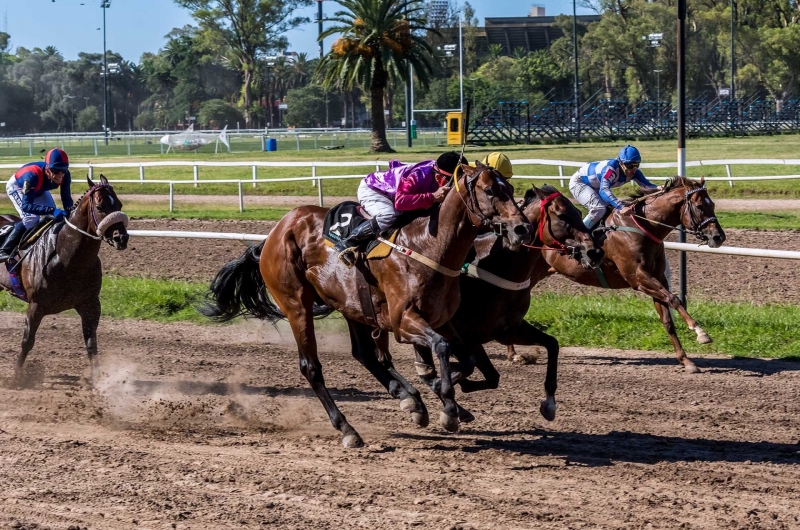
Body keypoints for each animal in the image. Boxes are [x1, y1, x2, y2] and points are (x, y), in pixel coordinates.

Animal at [0, 175, 128, 382]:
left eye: (119, 204)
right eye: (100, 206)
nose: (121, 238)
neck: (67, 256)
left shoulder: (90, 304)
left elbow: (91, 343)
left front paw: (97, 380)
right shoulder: (36, 305)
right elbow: (27, 341)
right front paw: (17, 378)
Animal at [200, 162, 532, 446]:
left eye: (510, 188)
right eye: (489, 190)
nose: (522, 228)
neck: (428, 246)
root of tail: (274, 232)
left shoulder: (441, 319)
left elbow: (466, 359)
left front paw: (439, 396)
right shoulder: (403, 321)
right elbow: (440, 347)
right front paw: (448, 411)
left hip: (352, 305)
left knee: (364, 353)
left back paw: (409, 399)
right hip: (296, 305)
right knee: (311, 367)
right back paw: (348, 429)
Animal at [532, 176, 724, 372]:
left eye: (713, 204)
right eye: (700, 206)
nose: (719, 237)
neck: (643, 226)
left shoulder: (658, 278)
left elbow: (667, 319)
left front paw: (685, 360)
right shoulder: (638, 278)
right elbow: (674, 299)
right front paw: (700, 332)